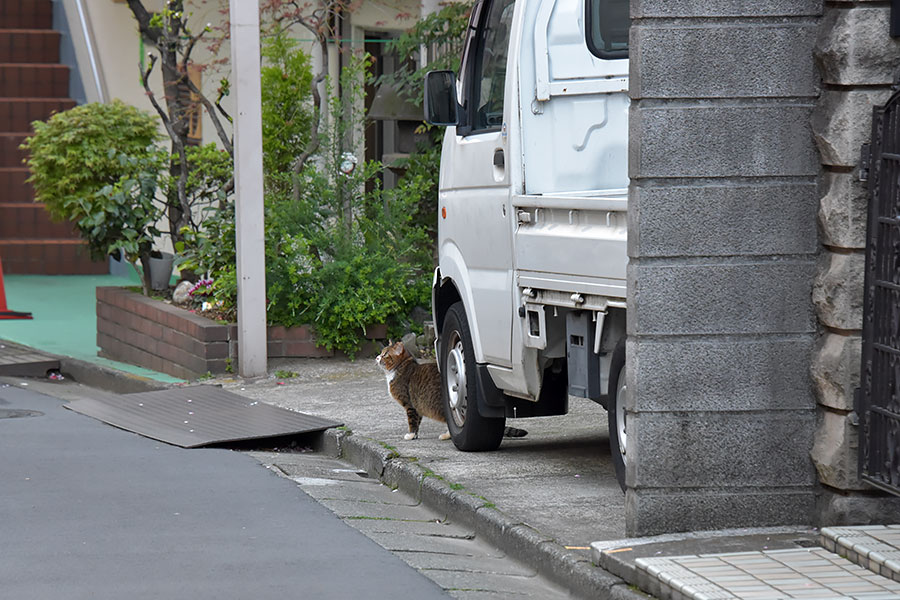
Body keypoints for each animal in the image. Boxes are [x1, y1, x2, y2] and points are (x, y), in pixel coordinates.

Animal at [374, 342, 528, 440]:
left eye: (385, 354)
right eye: (381, 353)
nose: (377, 357)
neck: (401, 366)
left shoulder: (410, 404)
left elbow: (412, 421)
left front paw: (410, 435)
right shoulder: (417, 405)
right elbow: (417, 421)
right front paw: (415, 435)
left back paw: (446, 435)